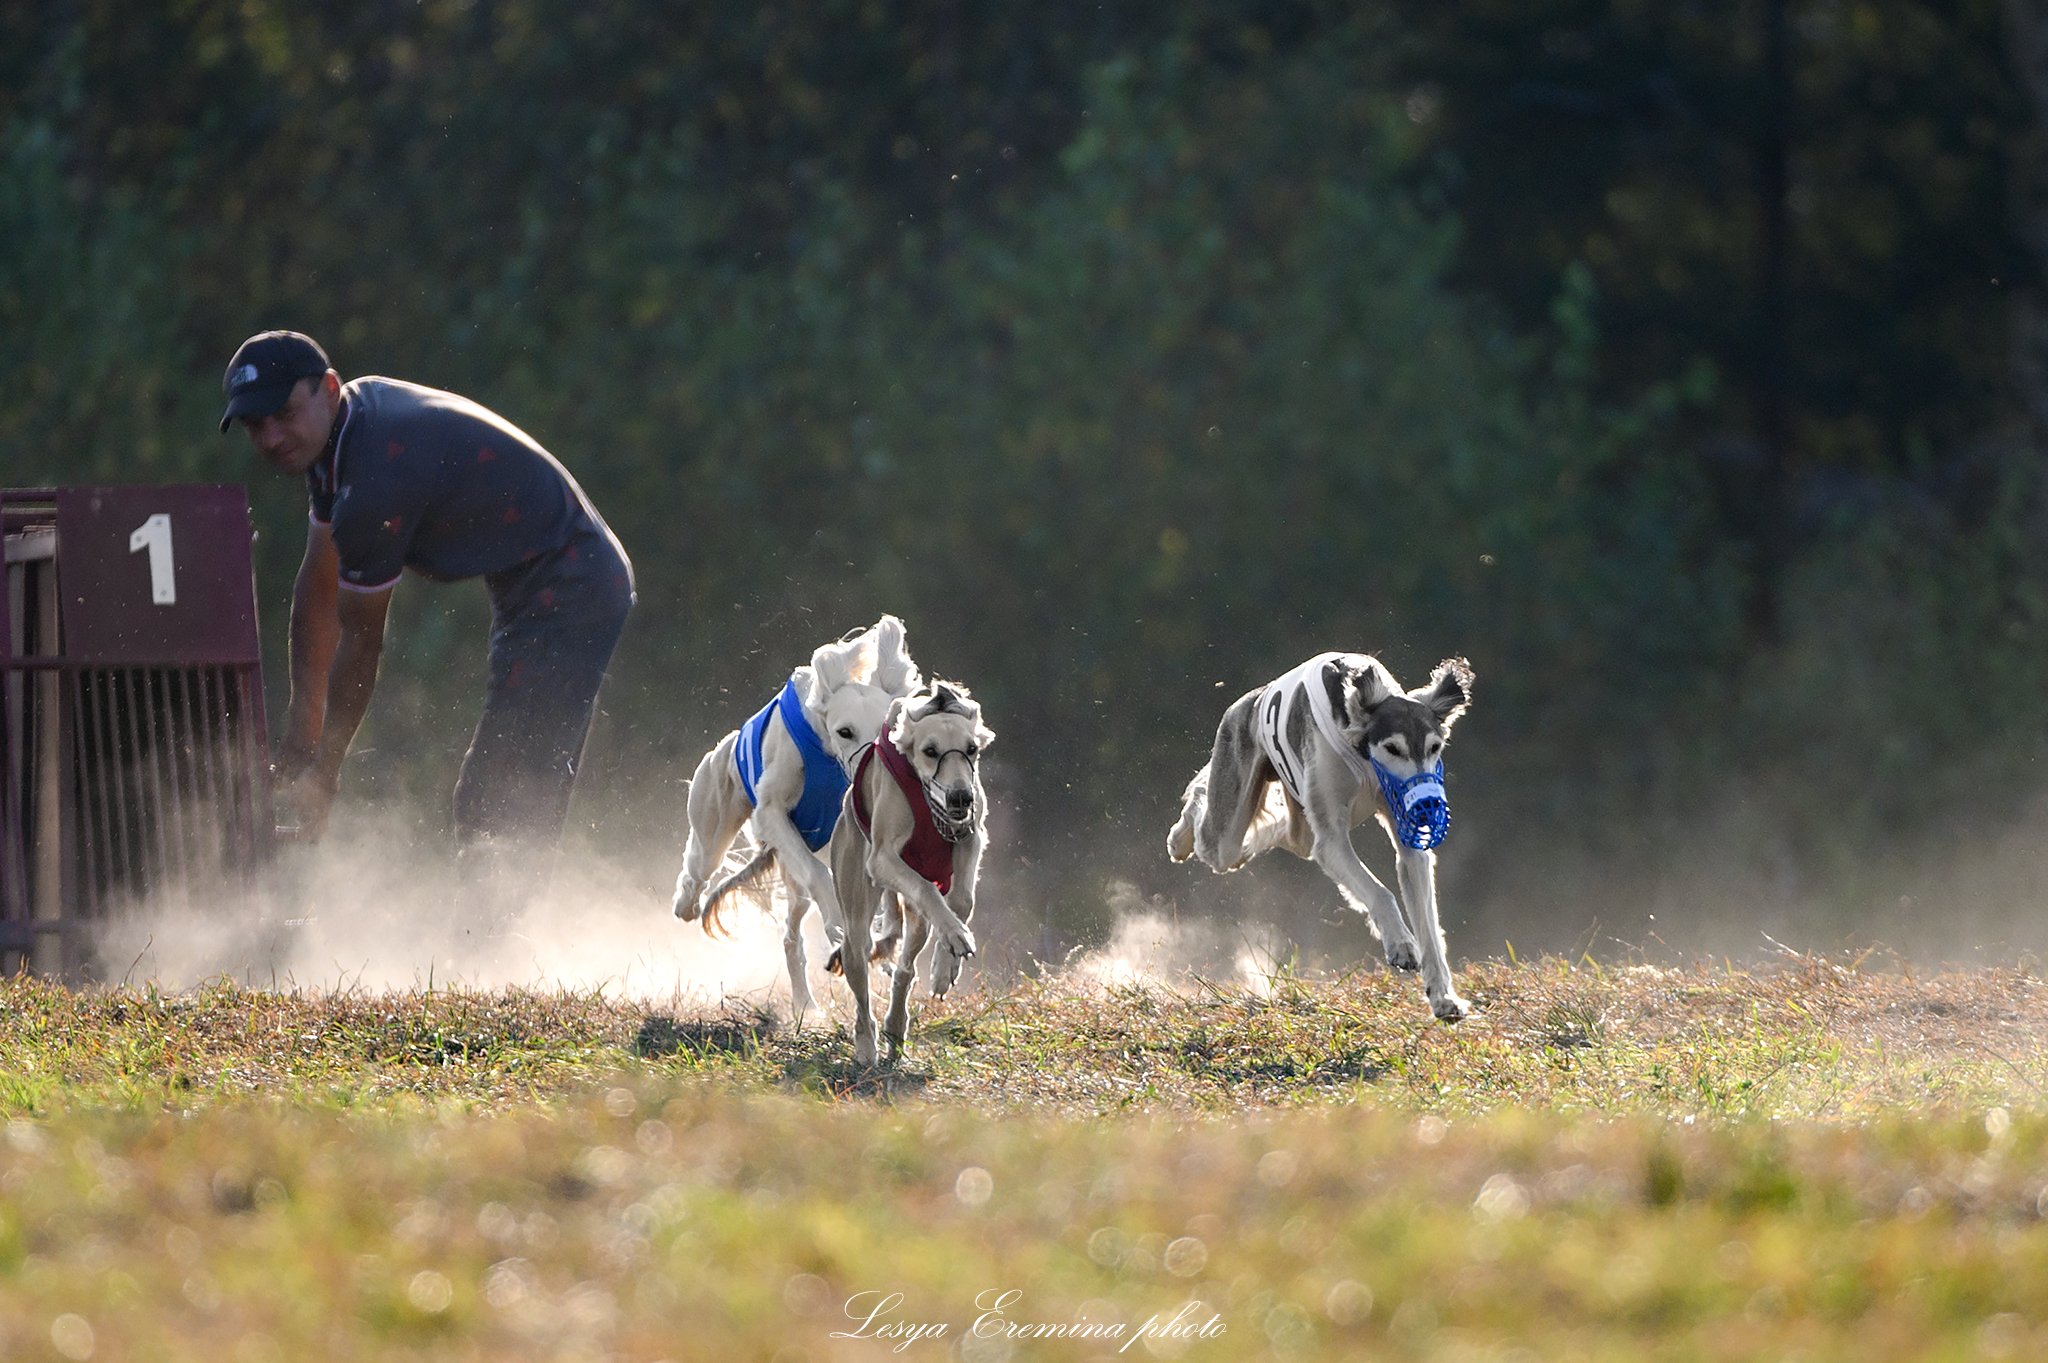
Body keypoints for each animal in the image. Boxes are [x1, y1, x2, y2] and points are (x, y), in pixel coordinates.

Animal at [671, 613, 921, 1019]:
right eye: (845, 731)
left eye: (885, 729)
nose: (870, 778)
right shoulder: (772, 813)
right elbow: (821, 875)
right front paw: (838, 923)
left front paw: (881, 940)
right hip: (717, 816)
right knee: (699, 867)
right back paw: (687, 904)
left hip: (794, 875)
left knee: (792, 939)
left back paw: (808, 1001)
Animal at [827, 679, 995, 1064]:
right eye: (930, 751)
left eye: (971, 749)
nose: (961, 798)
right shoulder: (882, 859)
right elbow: (928, 888)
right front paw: (955, 939)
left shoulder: (970, 837)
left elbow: (962, 900)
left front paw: (946, 965)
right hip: (855, 911)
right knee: (861, 978)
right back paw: (867, 1046)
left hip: (915, 921)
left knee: (905, 966)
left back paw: (896, 1025)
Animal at [1171, 650, 1474, 1019]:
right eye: (1392, 747)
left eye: (1435, 747)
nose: (1427, 807)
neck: (1363, 754)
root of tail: (1249, 700)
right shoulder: (1332, 842)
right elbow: (1380, 893)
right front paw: (1401, 945)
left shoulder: (1406, 842)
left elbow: (1429, 925)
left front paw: (1443, 997)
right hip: (1225, 830)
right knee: (1207, 810)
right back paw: (1179, 839)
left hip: (1297, 827)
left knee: (1279, 831)